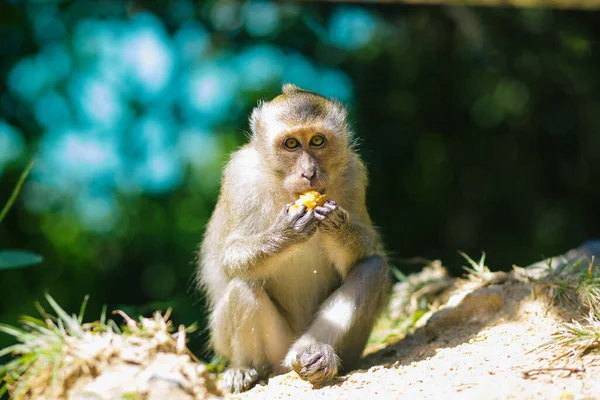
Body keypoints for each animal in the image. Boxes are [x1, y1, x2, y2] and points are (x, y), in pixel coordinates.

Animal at [199, 83, 392, 394]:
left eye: (317, 141)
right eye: (291, 144)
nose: (309, 172)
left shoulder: (354, 173)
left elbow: (366, 251)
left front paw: (337, 226)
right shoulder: (240, 177)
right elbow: (230, 255)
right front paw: (285, 233)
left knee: (372, 269)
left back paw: (315, 355)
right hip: (271, 349)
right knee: (244, 283)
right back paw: (245, 369)